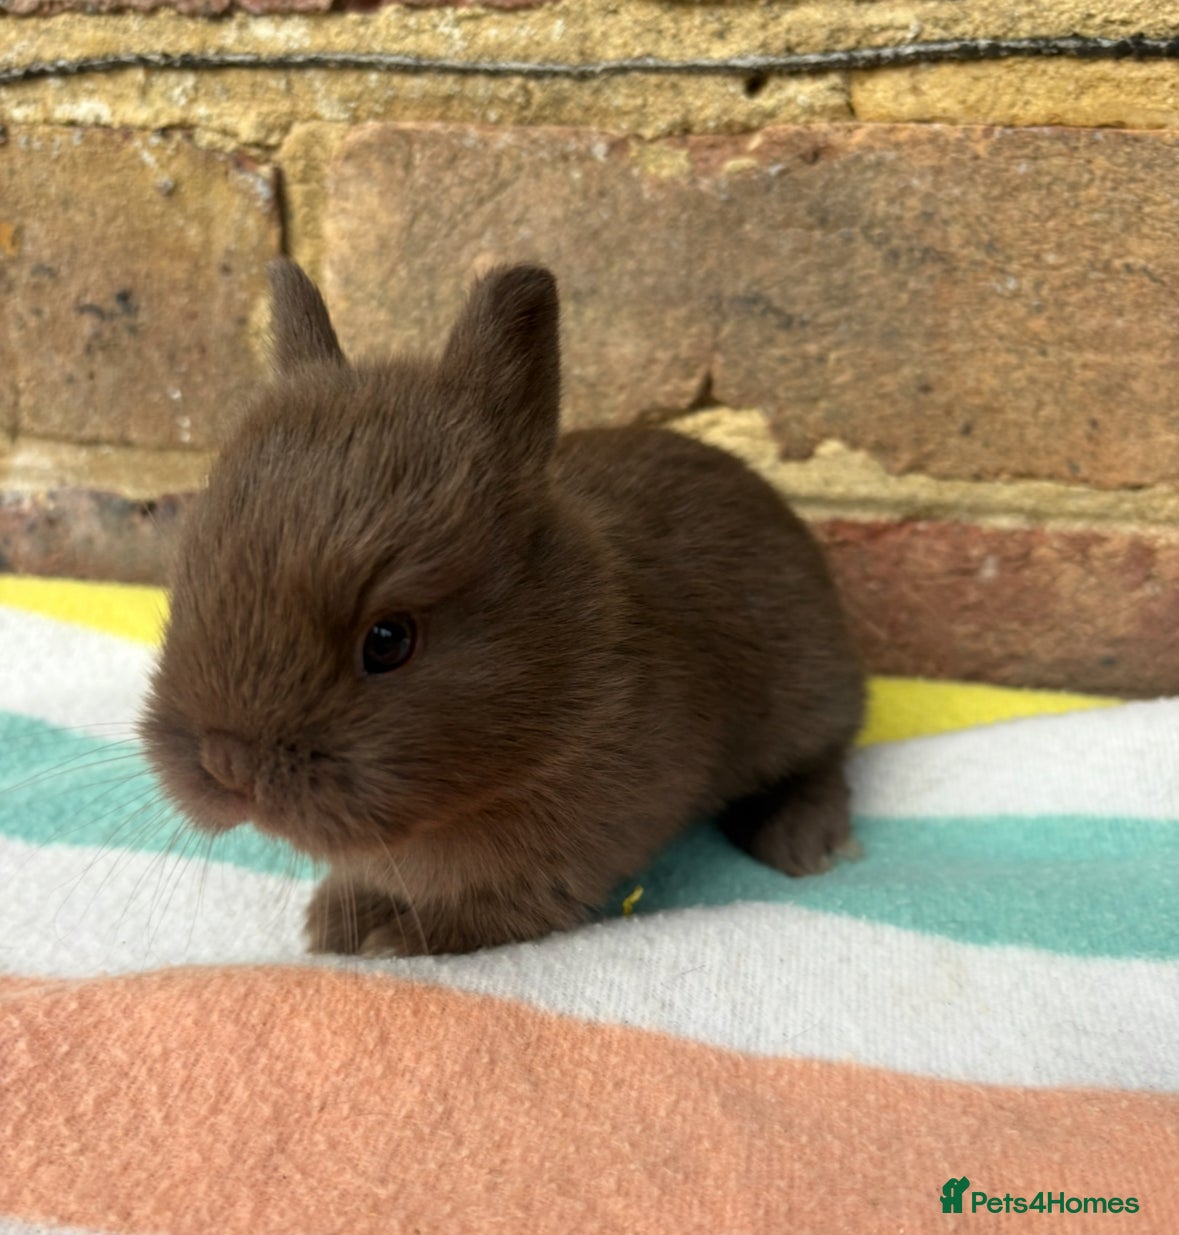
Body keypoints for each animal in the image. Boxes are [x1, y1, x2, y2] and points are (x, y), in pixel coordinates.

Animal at [138, 258, 865, 957]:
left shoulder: (569, 853)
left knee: (829, 750)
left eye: (388, 640)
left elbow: (510, 909)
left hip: (806, 691)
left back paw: (803, 842)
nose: (227, 765)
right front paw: (335, 919)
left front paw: (396, 938)